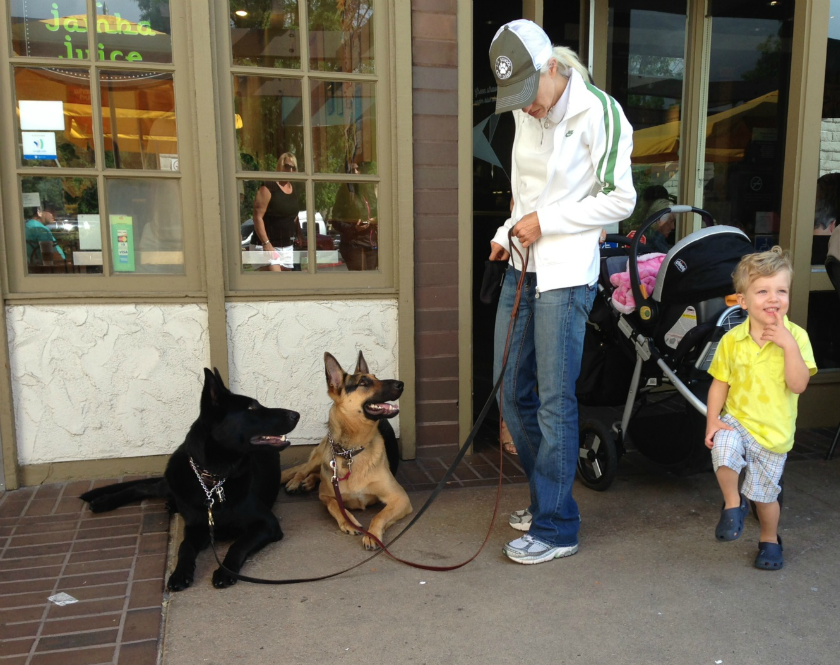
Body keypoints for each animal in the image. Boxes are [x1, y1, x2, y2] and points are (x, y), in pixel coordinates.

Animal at [80, 368, 299, 591]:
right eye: (251, 407)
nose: (296, 414)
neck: (213, 480)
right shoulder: (196, 528)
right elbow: (184, 546)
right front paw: (180, 573)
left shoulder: (267, 524)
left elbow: (238, 544)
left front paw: (225, 570)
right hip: (171, 481)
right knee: (144, 487)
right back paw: (104, 502)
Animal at [280, 351, 412, 550]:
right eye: (364, 382)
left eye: (376, 377)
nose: (401, 384)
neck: (351, 452)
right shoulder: (326, 496)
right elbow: (334, 506)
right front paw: (348, 522)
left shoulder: (400, 498)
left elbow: (379, 515)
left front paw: (373, 535)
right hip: (321, 456)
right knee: (304, 469)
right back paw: (296, 482)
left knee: (316, 474)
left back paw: (308, 482)